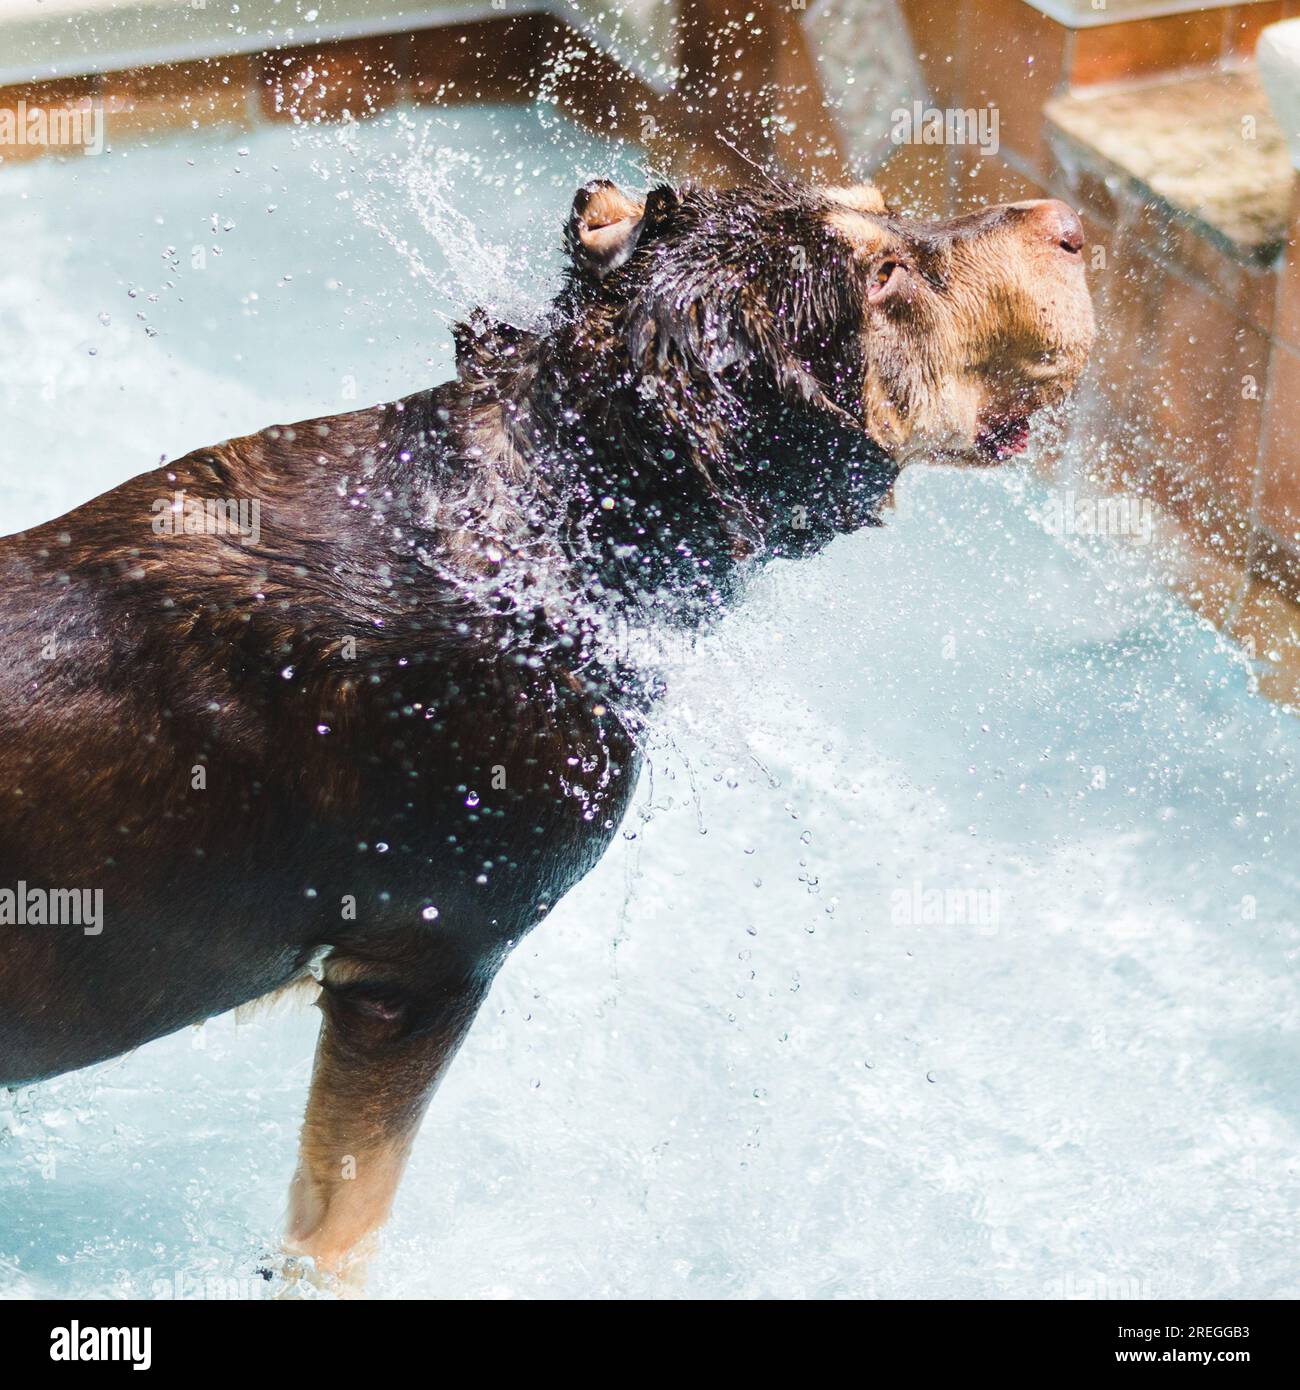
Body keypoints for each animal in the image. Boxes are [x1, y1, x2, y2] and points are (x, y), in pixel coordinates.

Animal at [0, 179, 1095, 1273]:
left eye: (875, 203)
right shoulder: (426, 968)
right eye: (885, 277)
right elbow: (341, 1224)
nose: (1071, 222)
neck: (547, 521)